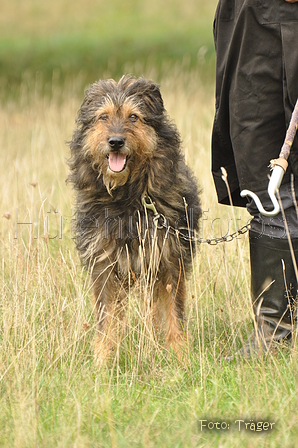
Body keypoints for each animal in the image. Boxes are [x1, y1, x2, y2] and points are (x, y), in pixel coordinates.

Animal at [67, 76, 201, 364]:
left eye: (133, 117)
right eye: (103, 116)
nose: (115, 141)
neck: (127, 198)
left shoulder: (169, 259)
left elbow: (174, 312)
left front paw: (180, 355)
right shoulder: (103, 265)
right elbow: (106, 317)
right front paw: (102, 359)